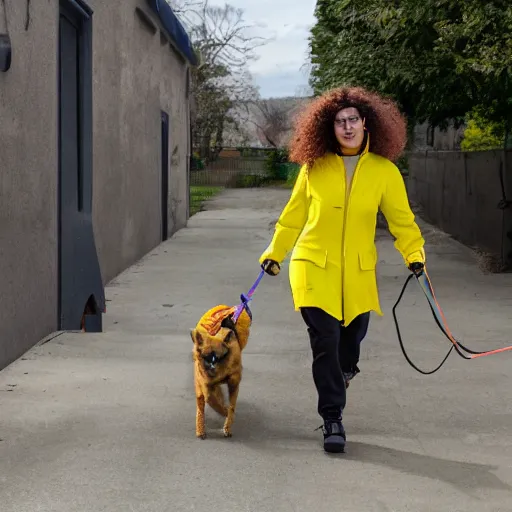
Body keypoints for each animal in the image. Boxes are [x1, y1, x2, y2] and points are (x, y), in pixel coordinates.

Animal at [189, 304, 251, 440]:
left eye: (218, 358)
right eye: (206, 358)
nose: (211, 369)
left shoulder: (234, 383)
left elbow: (231, 406)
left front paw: (227, 425)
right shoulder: (206, 384)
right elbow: (211, 399)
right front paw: (223, 411)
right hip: (200, 386)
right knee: (202, 404)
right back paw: (200, 429)